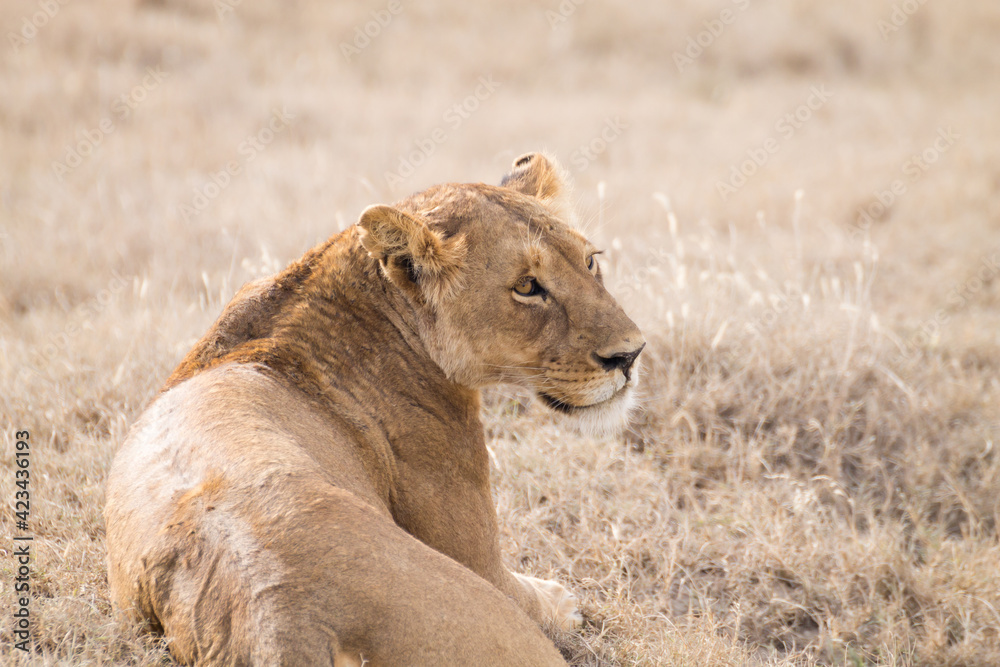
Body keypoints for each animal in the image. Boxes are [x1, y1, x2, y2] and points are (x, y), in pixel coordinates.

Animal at [104, 152, 645, 666]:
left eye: (590, 261)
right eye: (527, 287)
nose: (630, 354)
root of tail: (281, 620)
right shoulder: (479, 555)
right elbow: (539, 596)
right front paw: (565, 603)